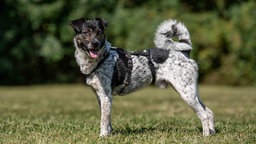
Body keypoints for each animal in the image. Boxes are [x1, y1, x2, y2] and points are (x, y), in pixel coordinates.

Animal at [69, 17, 215, 137]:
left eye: (99, 32)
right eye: (85, 32)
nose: (95, 44)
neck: (101, 58)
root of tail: (184, 53)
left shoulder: (106, 96)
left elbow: (104, 120)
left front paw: (103, 136)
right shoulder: (100, 96)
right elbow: (107, 118)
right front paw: (109, 134)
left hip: (186, 94)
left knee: (203, 114)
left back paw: (205, 135)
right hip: (191, 92)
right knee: (209, 111)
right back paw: (212, 133)